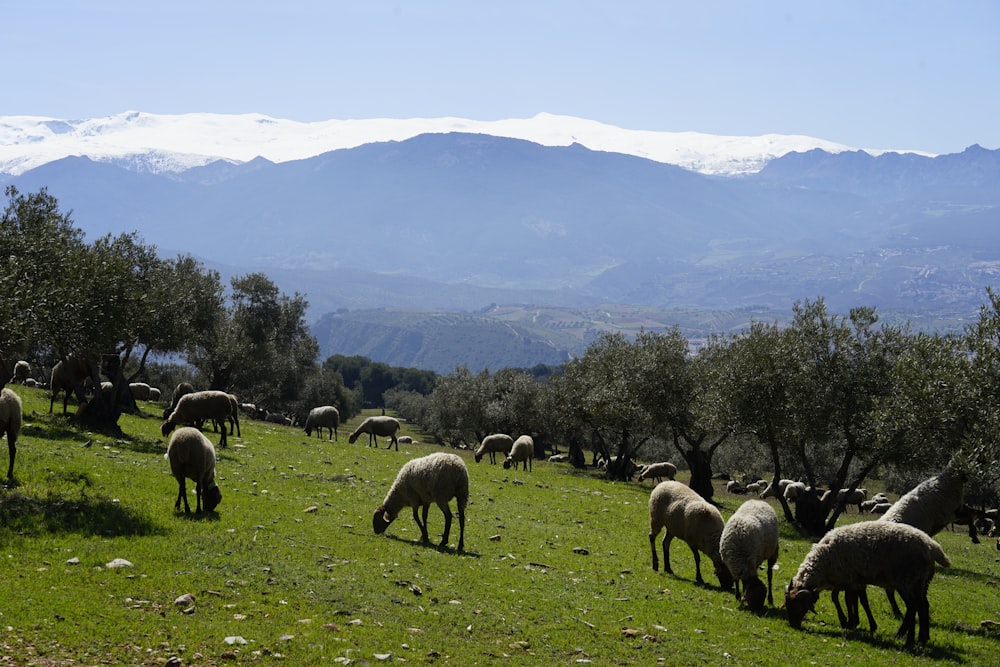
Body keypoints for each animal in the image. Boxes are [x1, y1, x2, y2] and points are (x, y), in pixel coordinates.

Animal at [784, 520, 948, 648]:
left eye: (798, 605)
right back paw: (922, 639)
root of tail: (931, 547)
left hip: (906, 581)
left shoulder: (851, 578)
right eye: (787, 604)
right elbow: (856, 600)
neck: (823, 560)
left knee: (912, 606)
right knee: (923, 606)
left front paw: (852, 623)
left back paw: (907, 639)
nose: (793, 624)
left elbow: (850, 600)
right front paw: (856, 623)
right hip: (921, 582)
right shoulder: (854, 580)